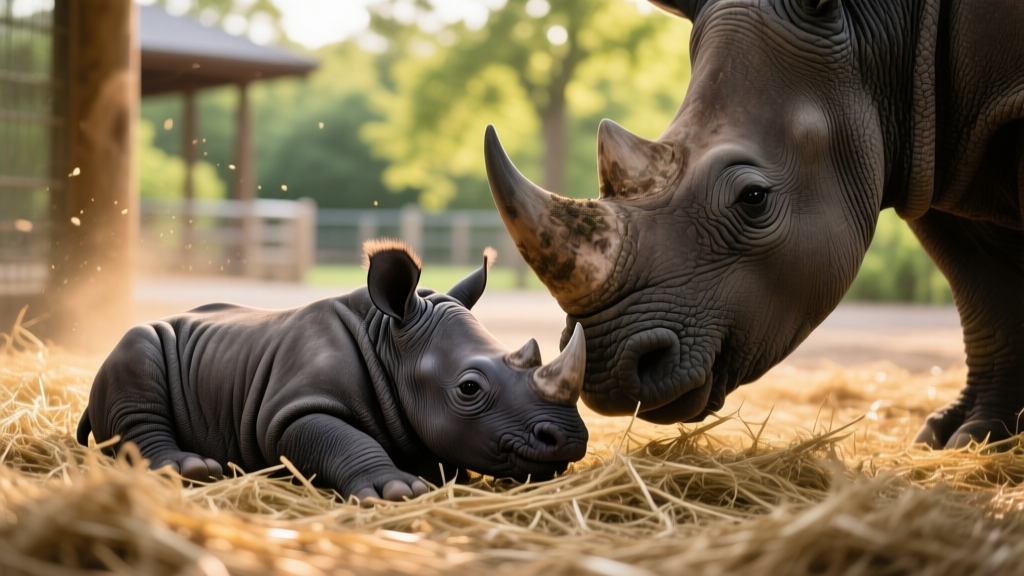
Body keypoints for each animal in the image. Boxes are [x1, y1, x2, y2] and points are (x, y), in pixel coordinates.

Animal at [77, 241, 589, 501]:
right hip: (137, 343)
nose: (569, 440)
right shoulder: (291, 411)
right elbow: (338, 437)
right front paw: (397, 490)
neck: (388, 342)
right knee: (139, 362)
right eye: (468, 388)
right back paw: (191, 471)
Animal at [485, 0, 1024, 449]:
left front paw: (973, 438)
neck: (886, 41)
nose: (608, 372)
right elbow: (980, 291)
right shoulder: (928, 152)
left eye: (754, 198)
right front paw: (963, 437)